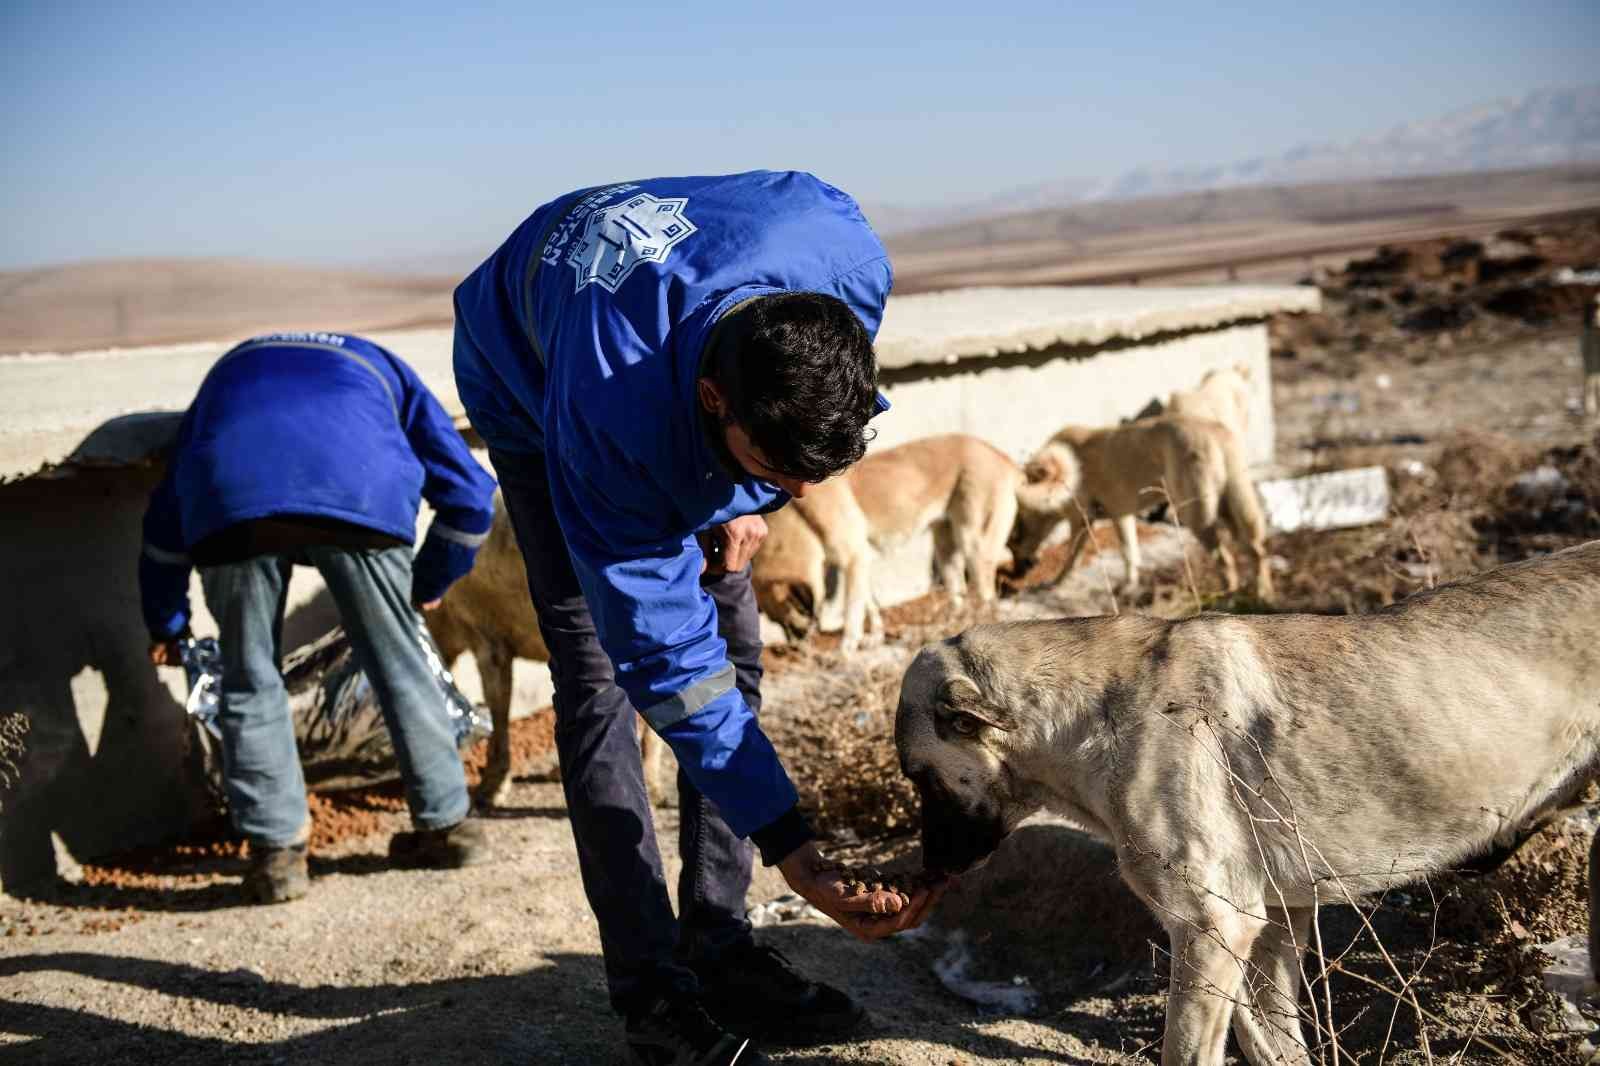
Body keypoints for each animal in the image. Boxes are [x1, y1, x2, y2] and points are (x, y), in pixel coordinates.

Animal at [748, 428, 1075, 646]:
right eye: (775, 621)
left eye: (787, 616)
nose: (796, 649)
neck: (799, 519)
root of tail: (1003, 459)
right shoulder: (860, 562)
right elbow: (869, 605)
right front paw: (876, 636)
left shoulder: (853, 558)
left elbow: (852, 615)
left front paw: (847, 653)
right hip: (946, 548)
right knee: (958, 591)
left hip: (975, 545)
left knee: (986, 597)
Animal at [896, 541, 1600, 1062]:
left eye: (921, 778)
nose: (930, 870)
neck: (1091, 715)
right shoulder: (1272, 928)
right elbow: (1273, 1041)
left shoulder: (1212, 928)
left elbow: (1188, 1050)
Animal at [1011, 412, 1273, 598]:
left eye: (1014, 534)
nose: (1017, 573)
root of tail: (1217, 431)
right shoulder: (1122, 516)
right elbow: (1130, 553)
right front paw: (1129, 585)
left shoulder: (1081, 522)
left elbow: (1071, 559)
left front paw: (1056, 583)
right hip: (1235, 510)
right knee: (1257, 550)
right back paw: (1262, 593)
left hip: (1196, 516)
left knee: (1227, 560)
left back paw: (1226, 595)